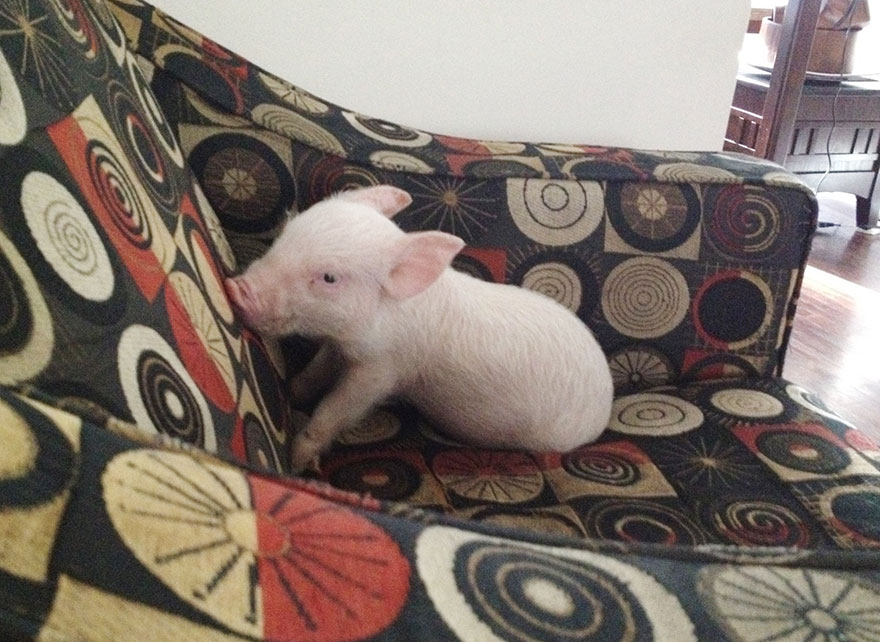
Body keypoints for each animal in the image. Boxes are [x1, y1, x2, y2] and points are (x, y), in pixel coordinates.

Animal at [225, 185, 613, 472]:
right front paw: (293, 391)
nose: (236, 288)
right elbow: (316, 370)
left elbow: (340, 405)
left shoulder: (382, 370)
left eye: (329, 278)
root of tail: (605, 405)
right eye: (285, 232)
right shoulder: (340, 346)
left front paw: (299, 460)